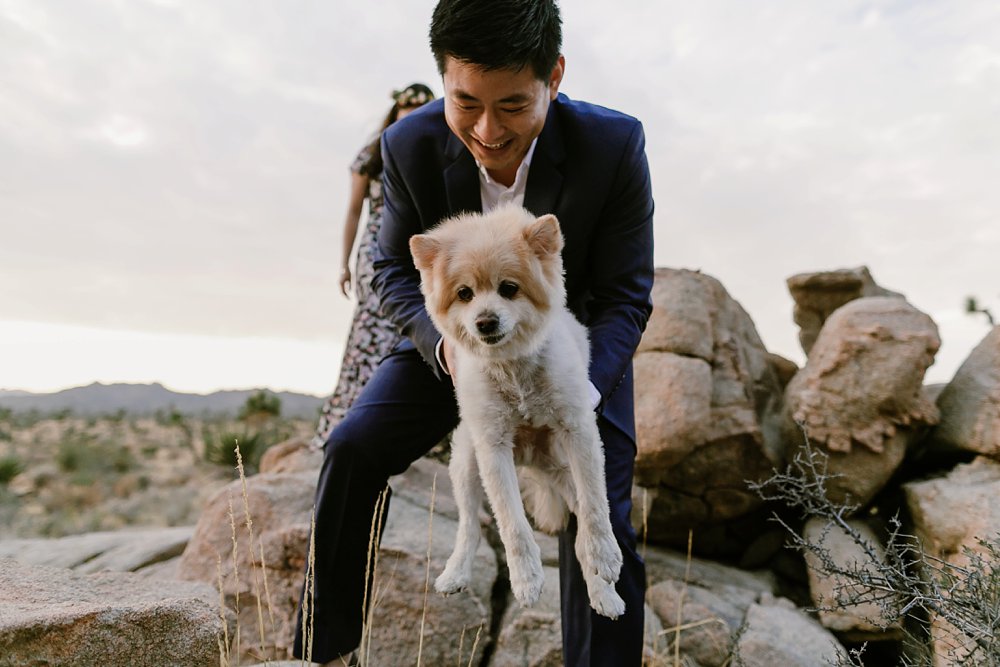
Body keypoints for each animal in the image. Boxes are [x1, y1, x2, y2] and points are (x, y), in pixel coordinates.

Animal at [410, 205, 620, 620]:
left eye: (509, 288)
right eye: (464, 294)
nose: (485, 321)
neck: (514, 369)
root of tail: (531, 460)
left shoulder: (579, 431)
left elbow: (595, 509)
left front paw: (606, 556)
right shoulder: (492, 447)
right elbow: (512, 524)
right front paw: (526, 579)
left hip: (564, 474)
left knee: (581, 538)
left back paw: (605, 594)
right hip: (467, 462)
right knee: (470, 525)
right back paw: (456, 573)